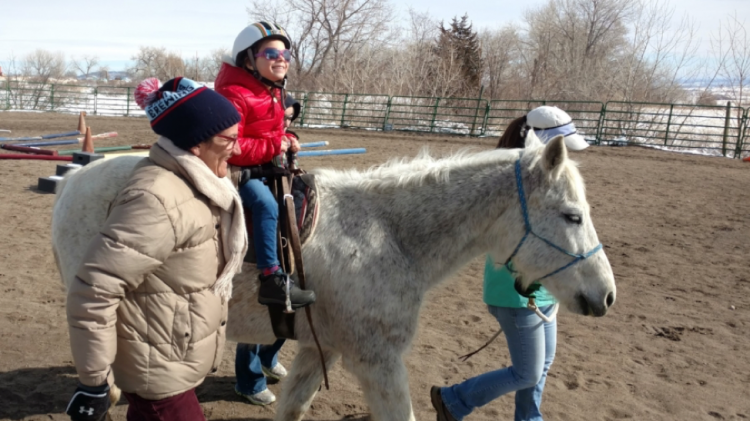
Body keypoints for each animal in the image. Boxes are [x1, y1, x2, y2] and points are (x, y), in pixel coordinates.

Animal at [53, 135, 616, 420]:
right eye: (571, 215)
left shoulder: (315, 349)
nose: (605, 295)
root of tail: (75, 178)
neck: (387, 234)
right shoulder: (377, 360)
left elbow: (292, 408)